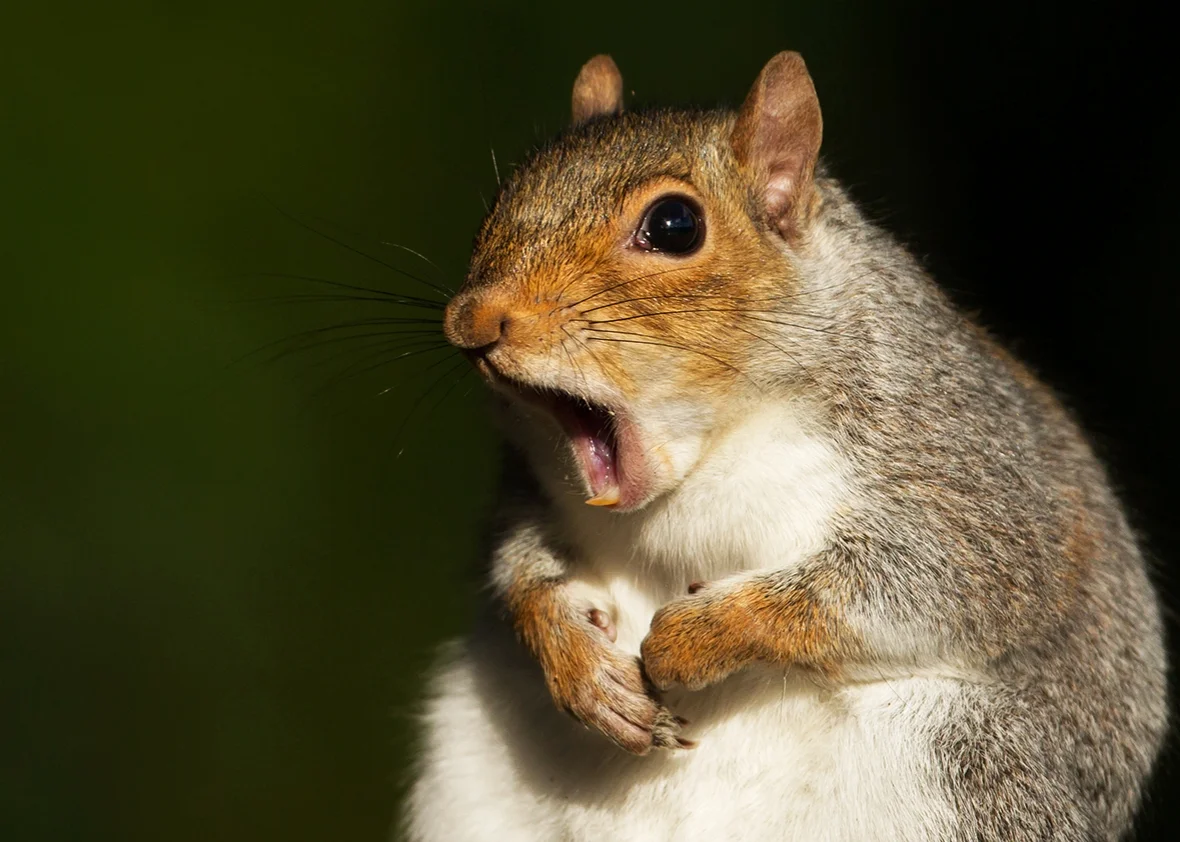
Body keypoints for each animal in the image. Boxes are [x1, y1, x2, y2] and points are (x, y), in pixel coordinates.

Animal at [402, 52, 1167, 841]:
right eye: (504, 195)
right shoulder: (529, 486)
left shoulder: (966, 474)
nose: (471, 321)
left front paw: (695, 636)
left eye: (675, 225)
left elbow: (917, 585)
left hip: (970, 766)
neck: (707, 457)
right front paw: (579, 661)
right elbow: (522, 565)